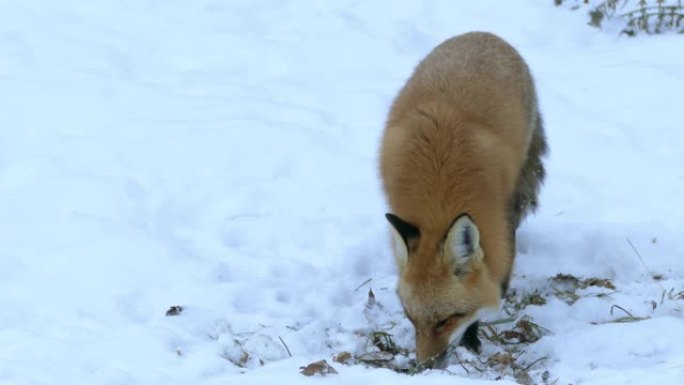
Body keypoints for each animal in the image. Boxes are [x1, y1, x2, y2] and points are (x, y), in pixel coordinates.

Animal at [380, 32, 544, 366]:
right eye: (410, 318)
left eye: (446, 320)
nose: (424, 366)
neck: (439, 200)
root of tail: (484, 34)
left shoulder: (499, 223)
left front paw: (471, 342)